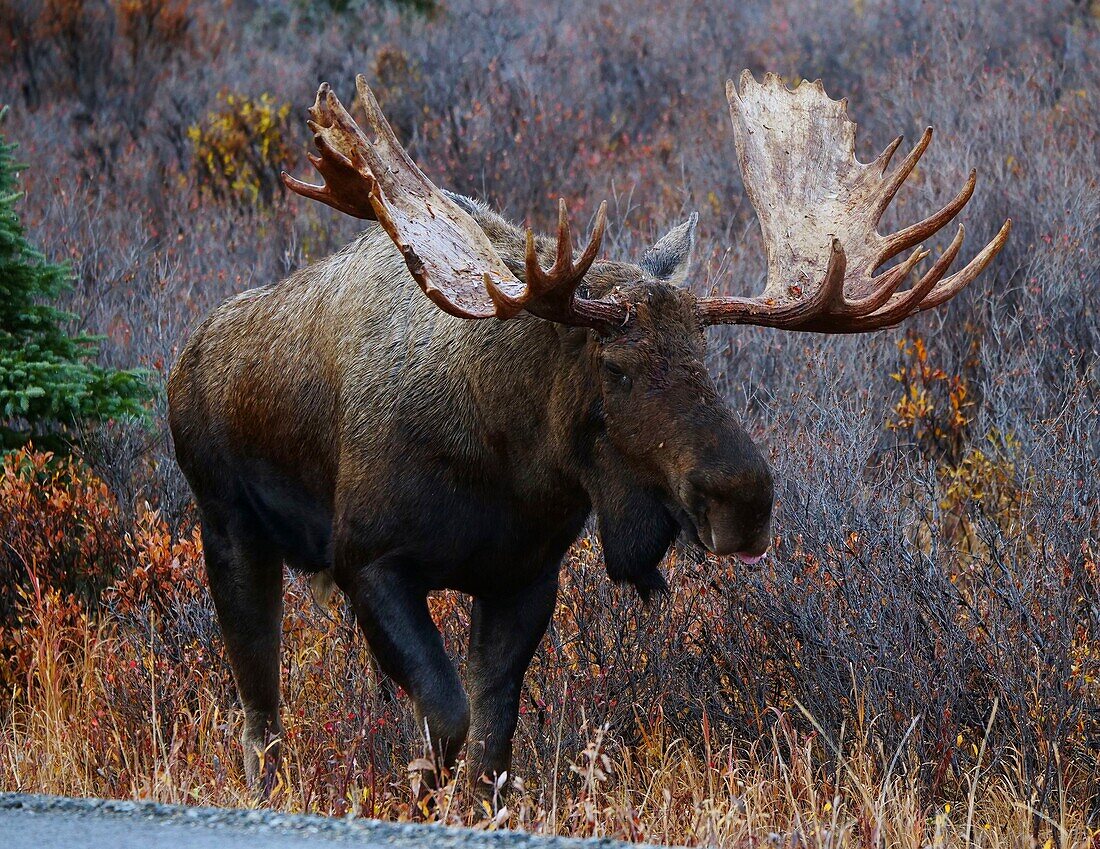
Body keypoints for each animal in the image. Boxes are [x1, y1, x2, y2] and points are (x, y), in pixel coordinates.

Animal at [167, 71, 1007, 787]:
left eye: (704, 355)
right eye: (617, 366)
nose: (746, 498)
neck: (510, 458)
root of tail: (185, 360)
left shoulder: (525, 577)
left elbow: (493, 744)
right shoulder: (369, 559)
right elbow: (447, 720)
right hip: (229, 526)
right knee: (260, 711)